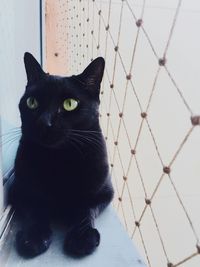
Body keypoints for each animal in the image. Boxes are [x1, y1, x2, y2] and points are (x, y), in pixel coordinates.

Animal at [9, 52, 113, 260]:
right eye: (32, 102)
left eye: (69, 104)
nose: (44, 122)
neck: (60, 160)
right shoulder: (19, 189)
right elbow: (35, 208)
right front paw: (33, 237)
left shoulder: (104, 192)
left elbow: (85, 208)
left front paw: (82, 238)